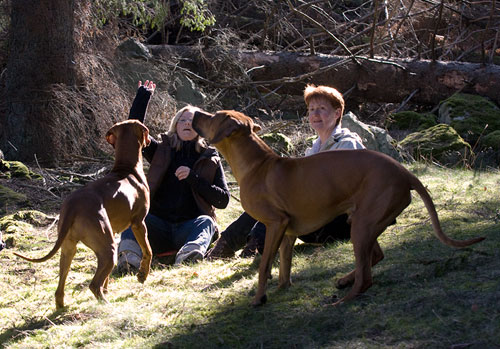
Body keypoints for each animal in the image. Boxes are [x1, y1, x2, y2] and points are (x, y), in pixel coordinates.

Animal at [15, 119, 152, 308]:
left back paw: (62, 308)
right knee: (93, 285)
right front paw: (142, 275)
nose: (151, 140)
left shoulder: (113, 231)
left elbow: (106, 279)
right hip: (108, 250)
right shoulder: (139, 223)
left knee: (60, 289)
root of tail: (73, 204)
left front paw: (108, 288)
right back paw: (106, 305)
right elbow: (148, 251)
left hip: (69, 249)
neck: (126, 169)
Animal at [192, 109, 484, 304]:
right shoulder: (287, 232)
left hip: (363, 224)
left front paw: (258, 299)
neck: (257, 166)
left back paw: (343, 298)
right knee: (375, 257)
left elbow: (264, 267)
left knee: (367, 277)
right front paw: (282, 289)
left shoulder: (275, 223)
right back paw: (345, 280)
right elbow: (284, 266)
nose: (193, 113)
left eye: (213, 116)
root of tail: (405, 173)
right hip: (364, 222)